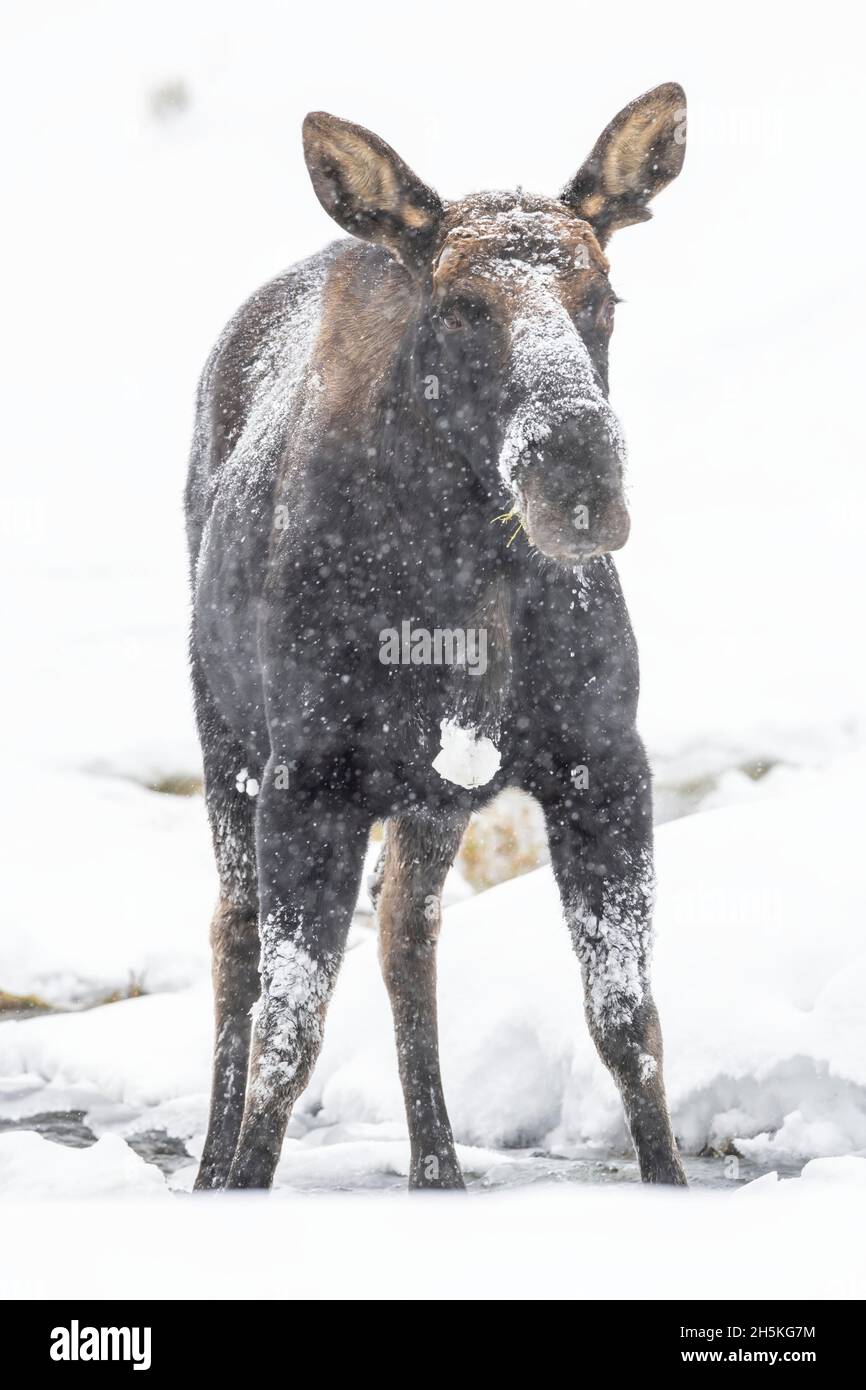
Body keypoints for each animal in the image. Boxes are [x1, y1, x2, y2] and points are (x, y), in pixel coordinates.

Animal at [187, 84, 692, 1195]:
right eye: (460, 307)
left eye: (603, 294)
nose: (577, 478)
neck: (465, 599)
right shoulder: (308, 781)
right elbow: (287, 1038)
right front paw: (242, 1180)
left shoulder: (601, 760)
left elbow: (628, 1020)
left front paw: (669, 1181)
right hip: (226, 748)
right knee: (232, 940)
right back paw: (208, 1168)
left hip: (430, 800)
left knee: (402, 934)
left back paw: (438, 1165)